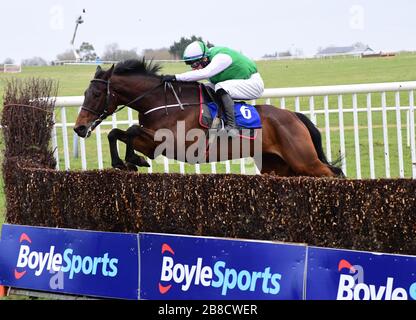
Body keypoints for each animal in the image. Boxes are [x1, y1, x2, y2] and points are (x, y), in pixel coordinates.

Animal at [73, 58, 342, 176]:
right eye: (85, 93)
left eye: (96, 94)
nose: (79, 128)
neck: (164, 102)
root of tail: (294, 116)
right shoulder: (154, 143)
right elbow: (116, 133)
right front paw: (125, 162)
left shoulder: (174, 143)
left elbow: (128, 131)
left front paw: (131, 160)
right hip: (277, 166)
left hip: (304, 160)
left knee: (333, 173)